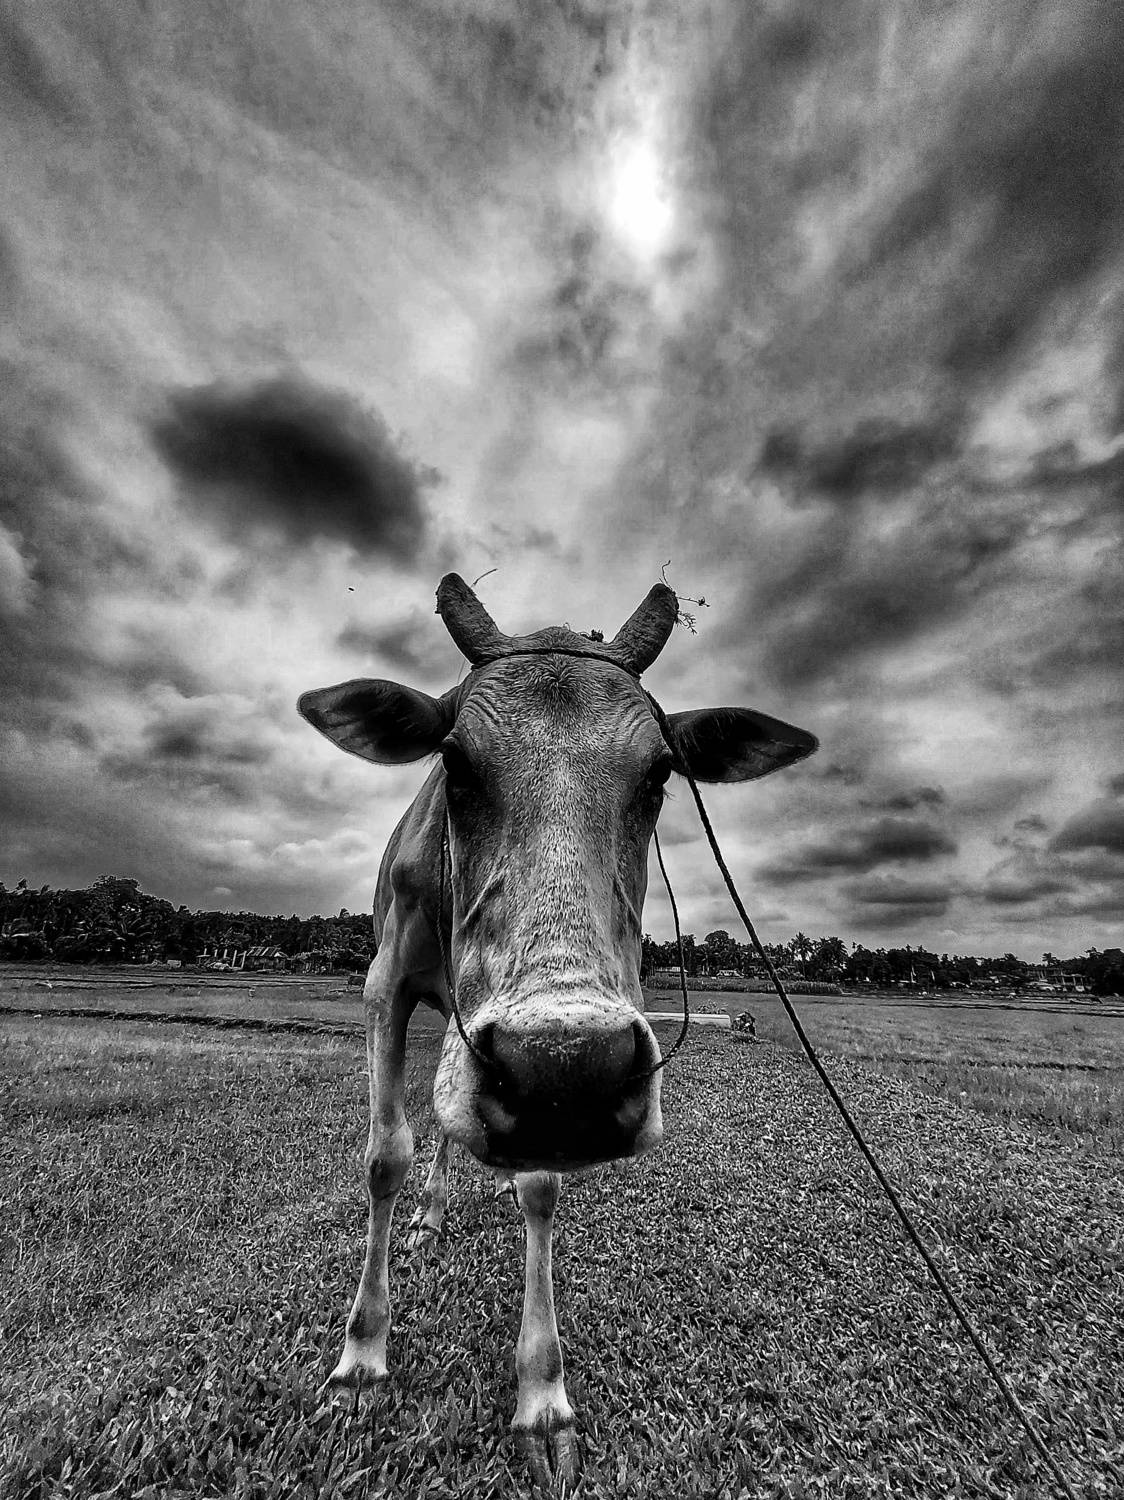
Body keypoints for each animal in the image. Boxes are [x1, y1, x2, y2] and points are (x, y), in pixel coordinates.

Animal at [298, 574, 817, 1488]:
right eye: (453, 761)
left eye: (659, 774)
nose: (570, 1070)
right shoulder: (384, 989)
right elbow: (383, 1158)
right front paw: (361, 1360)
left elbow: (537, 1187)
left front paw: (541, 1397)